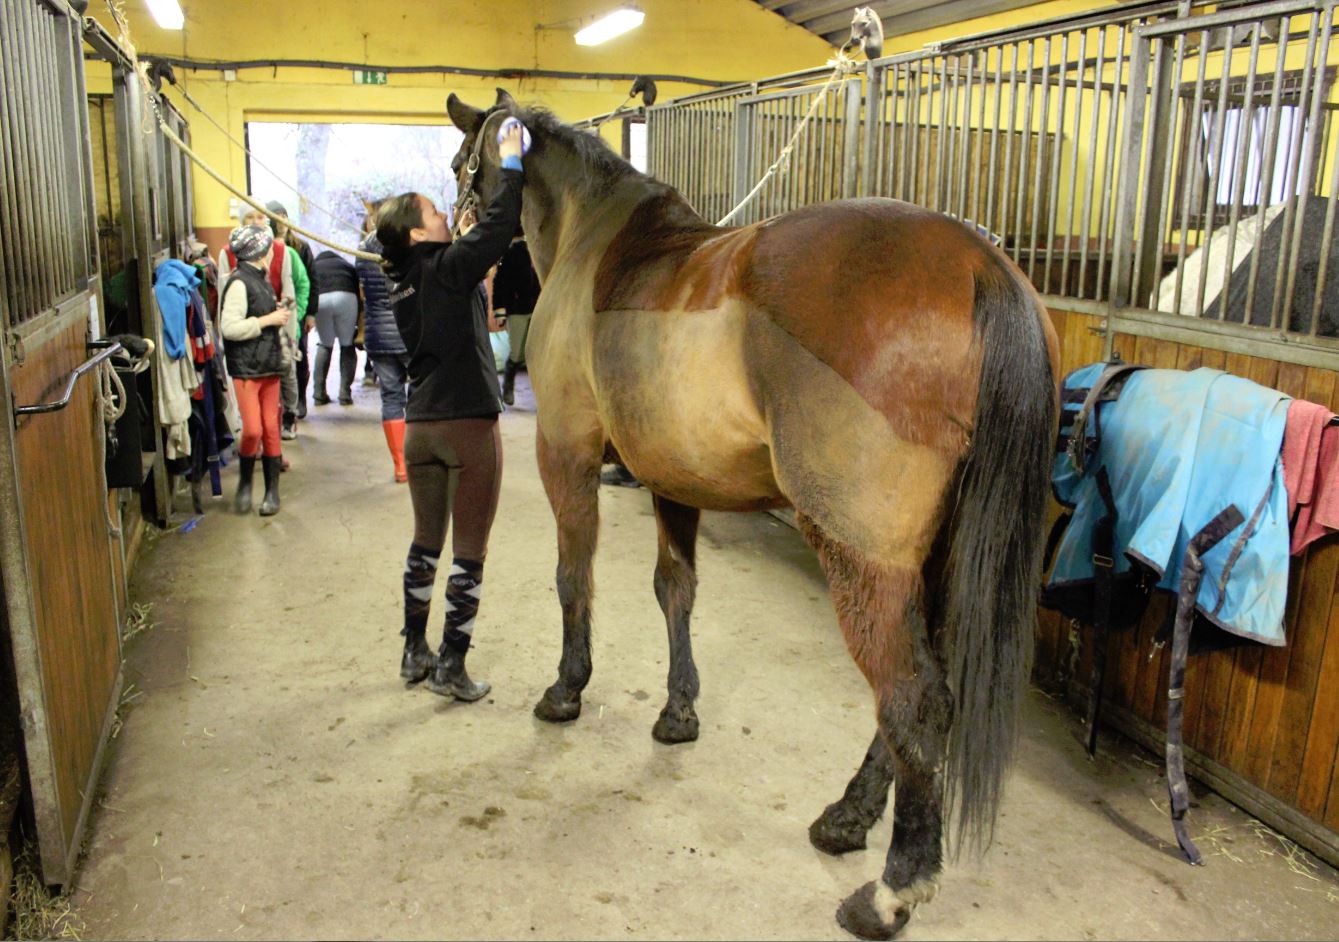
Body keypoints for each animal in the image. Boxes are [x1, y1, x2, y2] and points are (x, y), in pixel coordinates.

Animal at [447, 88, 1060, 940]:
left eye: (460, 162)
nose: (457, 232)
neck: (594, 238)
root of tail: (980, 264)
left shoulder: (565, 448)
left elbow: (574, 576)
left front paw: (566, 691)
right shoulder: (671, 476)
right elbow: (674, 588)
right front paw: (678, 712)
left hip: (861, 556)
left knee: (913, 697)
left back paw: (890, 891)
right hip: (934, 560)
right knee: (915, 699)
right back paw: (846, 818)